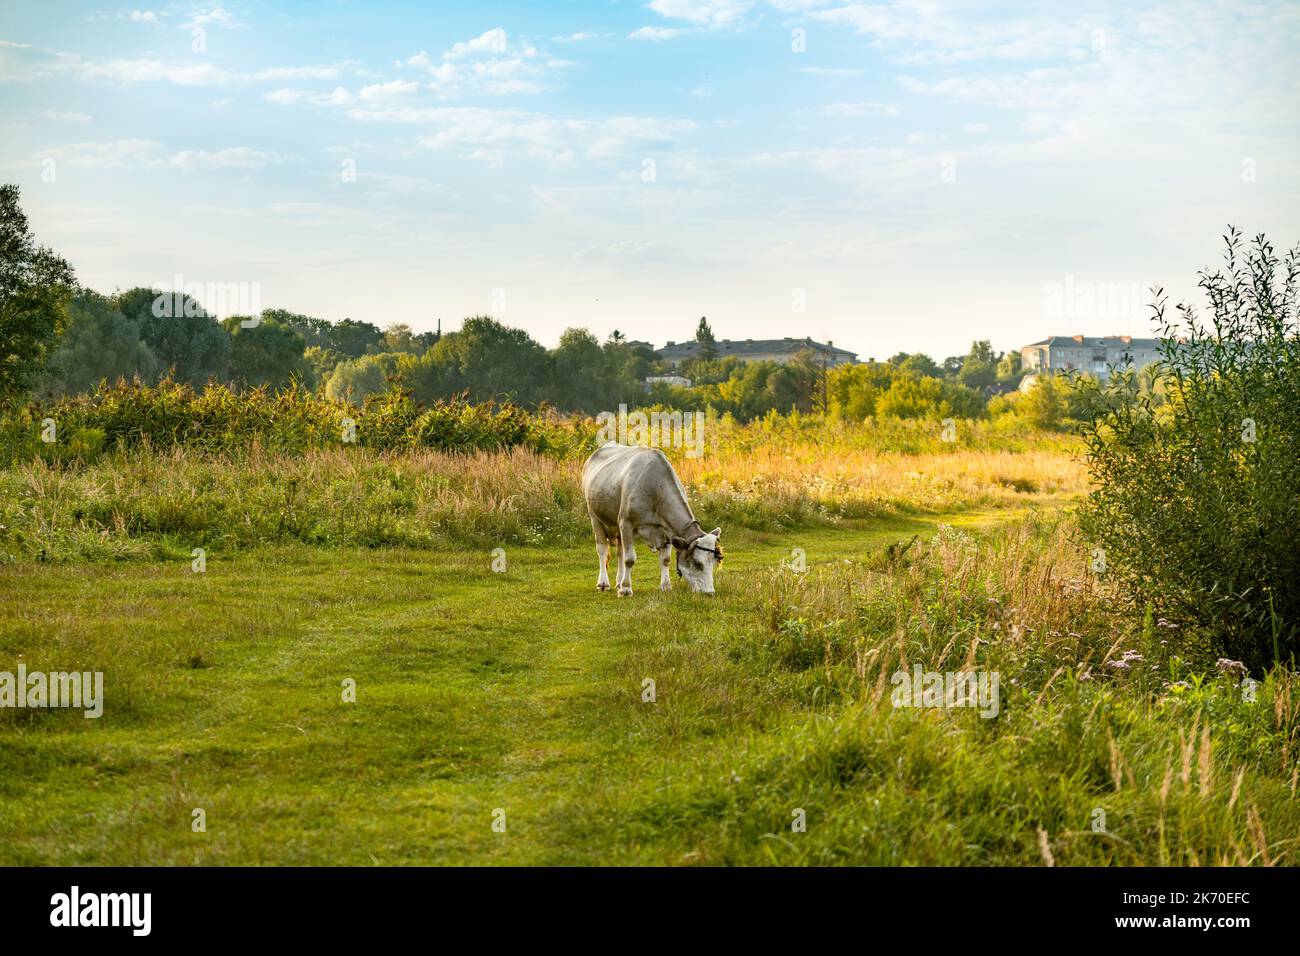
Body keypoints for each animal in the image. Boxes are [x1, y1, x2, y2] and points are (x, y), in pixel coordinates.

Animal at [581, 442, 723, 597]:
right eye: (698, 564)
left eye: (714, 562)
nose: (709, 592)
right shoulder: (626, 523)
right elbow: (629, 559)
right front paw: (626, 589)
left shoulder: (667, 529)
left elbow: (665, 559)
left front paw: (666, 586)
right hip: (595, 517)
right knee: (602, 550)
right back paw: (603, 583)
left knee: (619, 551)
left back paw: (618, 582)